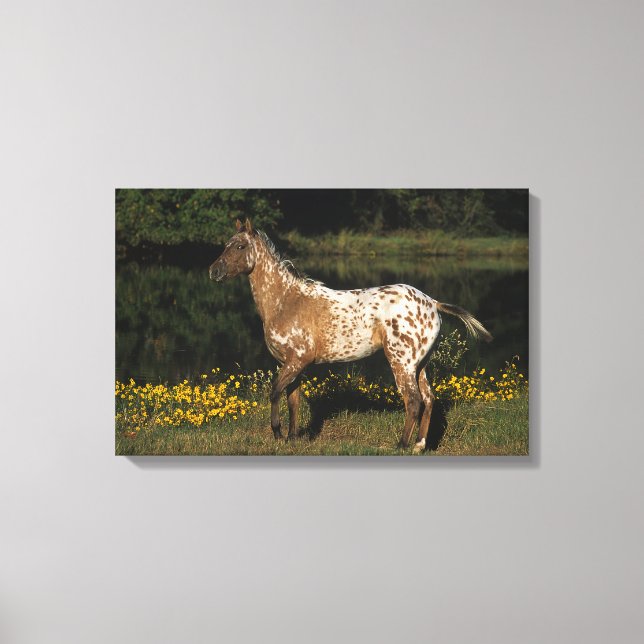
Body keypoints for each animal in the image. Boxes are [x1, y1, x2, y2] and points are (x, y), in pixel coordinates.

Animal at [209, 219, 492, 452]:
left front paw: (278, 434)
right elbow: (293, 401)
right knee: (429, 399)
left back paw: (401, 445)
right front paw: (291, 438)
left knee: (413, 401)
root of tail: (433, 303)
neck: (286, 300)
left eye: (240, 247)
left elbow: (275, 392)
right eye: (225, 245)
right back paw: (419, 445)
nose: (214, 271)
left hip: (401, 362)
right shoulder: (292, 364)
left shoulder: (297, 361)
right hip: (420, 364)